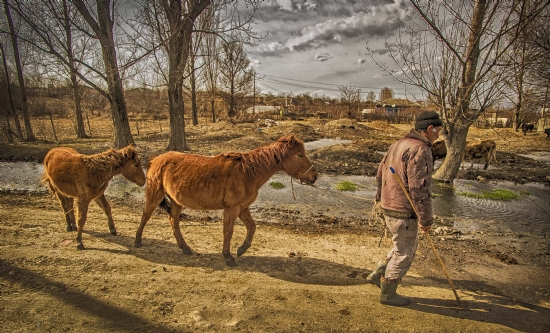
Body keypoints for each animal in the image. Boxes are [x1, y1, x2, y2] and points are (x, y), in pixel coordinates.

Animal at [134, 134, 322, 266]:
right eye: (299, 155)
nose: (314, 176)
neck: (247, 172)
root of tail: (155, 160)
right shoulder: (232, 208)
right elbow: (228, 231)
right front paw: (228, 256)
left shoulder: (242, 208)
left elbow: (252, 227)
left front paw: (242, 249)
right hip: (155, 194)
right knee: (146, 215)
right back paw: (137, 241)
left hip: (176, 200)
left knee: (173, 220)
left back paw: (185, 248)